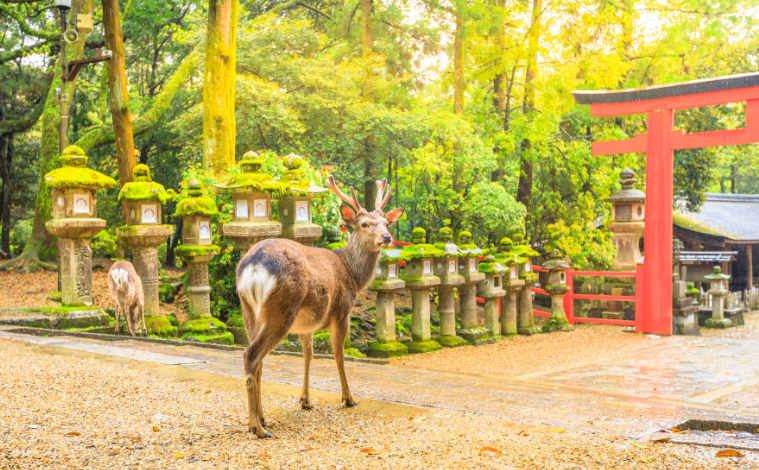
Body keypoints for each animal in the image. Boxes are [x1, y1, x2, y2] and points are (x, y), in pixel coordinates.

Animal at [236, 176, 404, 438]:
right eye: (364, 224)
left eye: (386, 222)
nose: (386, 237)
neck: (352, 274)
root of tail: (254, 266)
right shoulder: (342, 311)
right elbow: (338, 355)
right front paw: (348, 398)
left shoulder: (306, 325)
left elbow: (308, 355)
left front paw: (305, 400)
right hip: (283, 308)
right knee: (251, 355)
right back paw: (257, 427)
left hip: (249, 310)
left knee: (258, 361)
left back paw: (262, 419)